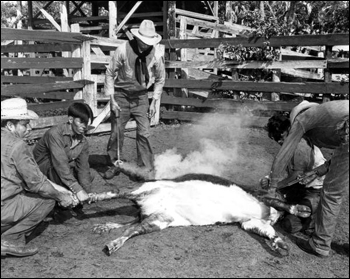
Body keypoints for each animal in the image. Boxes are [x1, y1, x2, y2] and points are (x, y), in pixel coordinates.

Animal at [91, 175, 292, 258]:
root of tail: (145, 208)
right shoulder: (260, 196)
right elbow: (281, 204)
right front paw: (295, 208)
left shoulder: (249, 222)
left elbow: (267, 231)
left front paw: (280, 243)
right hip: (145, 188)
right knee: (116, 192)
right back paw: (90, 197)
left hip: (160, 219)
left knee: (132, 229)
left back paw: (112, 242)